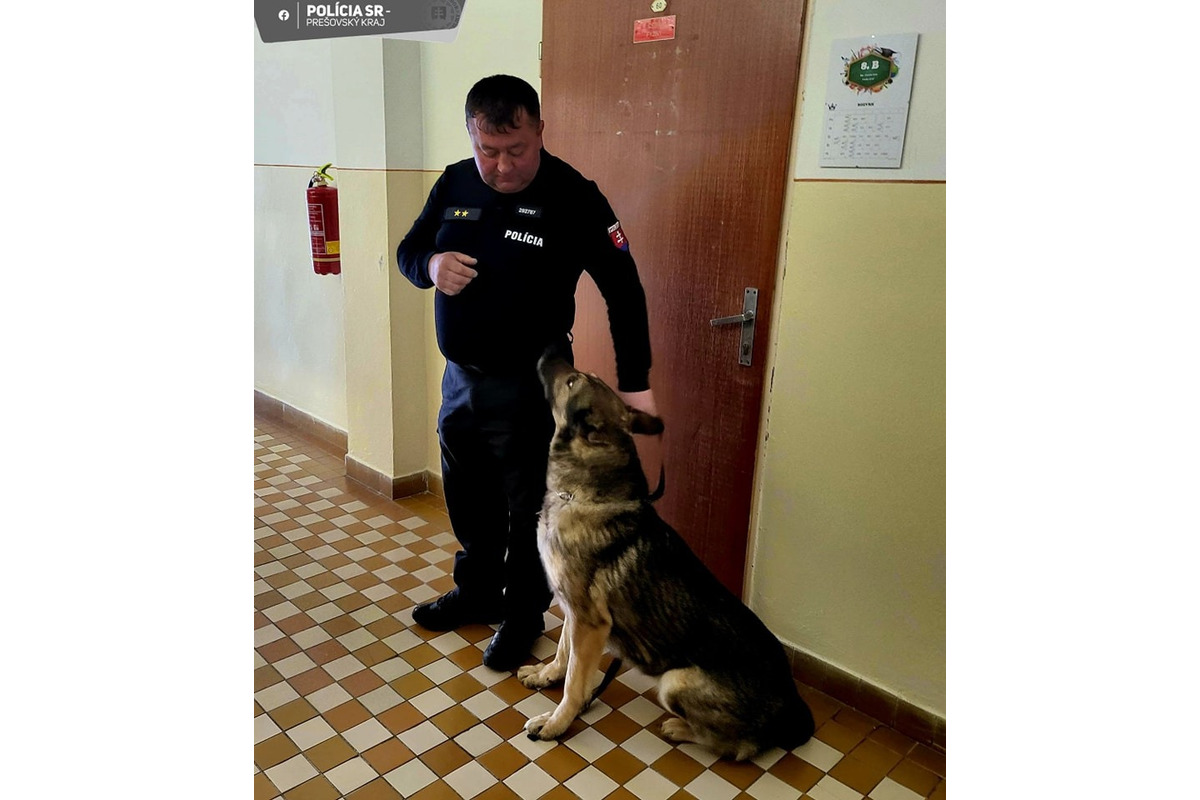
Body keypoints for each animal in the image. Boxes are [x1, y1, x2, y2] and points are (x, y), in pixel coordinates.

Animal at [516, 352, 816, 762]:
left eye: (573, 381)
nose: (548, 352)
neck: (582, 494)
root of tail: (789, 709)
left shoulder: (590, 624)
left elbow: (576, 683)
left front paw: (557, 722)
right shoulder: (575, 613)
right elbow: (563, 653)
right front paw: (546, 675)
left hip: (675, 681)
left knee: (737, 747)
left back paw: (681, 728)